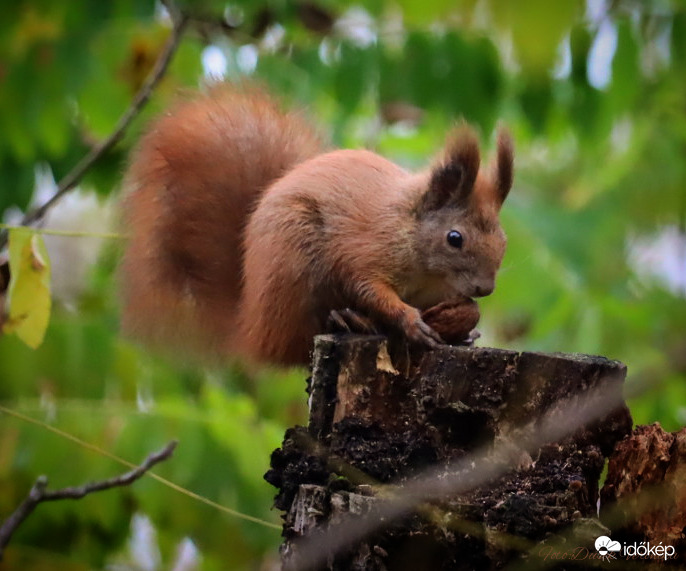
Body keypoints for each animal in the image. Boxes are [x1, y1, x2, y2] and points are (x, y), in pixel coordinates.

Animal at [121, 84, 512, 368]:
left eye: (504, 241)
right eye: (454, 238)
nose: (486, 288)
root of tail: (248, 328)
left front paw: (466, 325)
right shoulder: (365, 249)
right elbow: (366, 286)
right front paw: (409, 321)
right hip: (294, 263)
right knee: (296, 343)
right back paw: (346, 321)